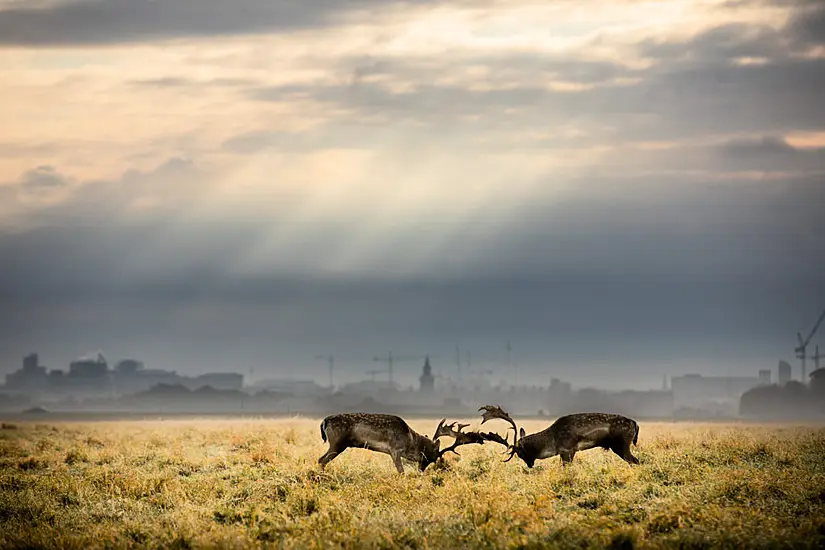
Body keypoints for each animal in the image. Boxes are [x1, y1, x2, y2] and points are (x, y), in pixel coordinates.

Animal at [318, 414, 506, 474]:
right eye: (433, 457)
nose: (421, 470)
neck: (410, 441)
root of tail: (324, 421)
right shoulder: (394, 449)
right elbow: (401, 471)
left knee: (320, 459)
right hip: (337, 443)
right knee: (322, 460)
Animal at [474, 406, 640, 470]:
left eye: (519, 453)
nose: (529, 465)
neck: (551, 442)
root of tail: (635, 423)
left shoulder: (568, 449)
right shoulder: (565, 452)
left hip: (621, 444)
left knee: (635, 461)